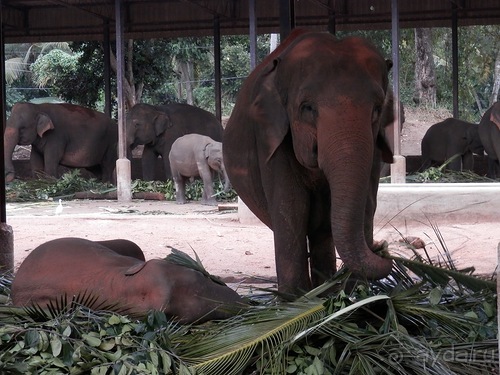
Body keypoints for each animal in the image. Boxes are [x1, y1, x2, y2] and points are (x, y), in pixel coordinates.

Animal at [224, 29, 394, 298]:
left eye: (377, 109)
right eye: (307, 108)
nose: (382, 248)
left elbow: (366, 204)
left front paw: (354, 297)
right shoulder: (271, 141)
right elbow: (292, 207)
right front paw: (294, 300)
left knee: (322, 230)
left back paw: (324, 292)